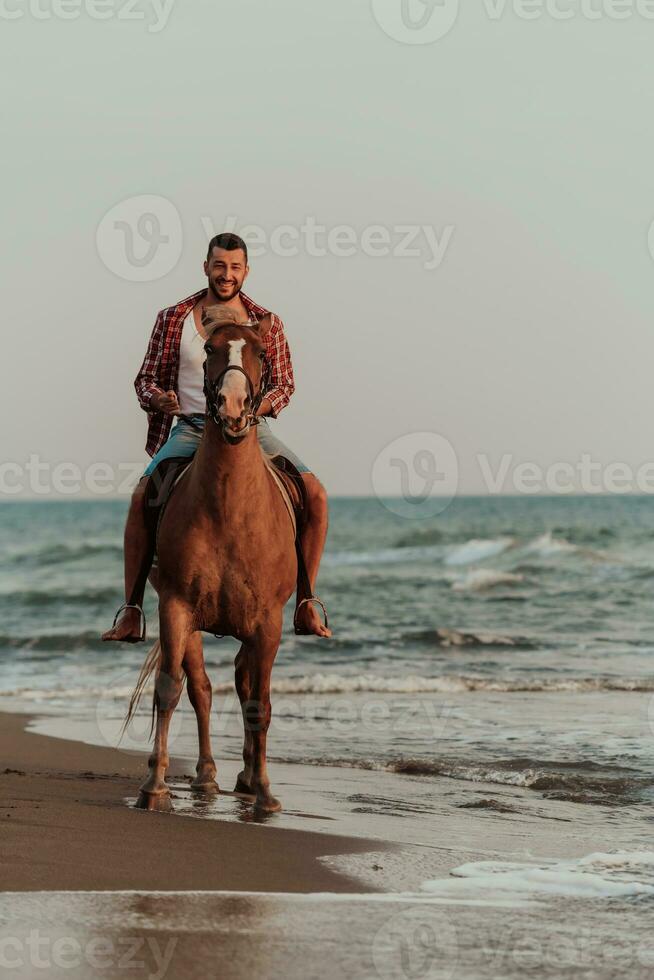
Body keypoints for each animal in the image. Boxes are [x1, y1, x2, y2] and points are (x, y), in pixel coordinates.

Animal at [125, 306, 300, 812]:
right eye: (209, 349)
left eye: (260, 352)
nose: (234, 407)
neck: (229, 508)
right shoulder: (176, 607)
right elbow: (170, 689)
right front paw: (155, 786)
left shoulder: (268, 622)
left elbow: (260, 701)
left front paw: (265, 792)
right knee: (201, 689)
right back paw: (205, 776)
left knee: (243, 686)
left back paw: (247, 776)